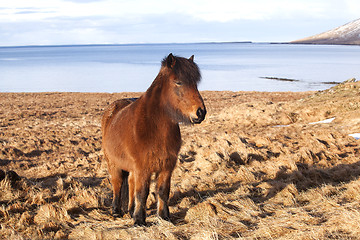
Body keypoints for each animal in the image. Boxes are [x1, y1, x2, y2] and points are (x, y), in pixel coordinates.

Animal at [102, 53, 207, 226]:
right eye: (178, 82)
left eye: (195, 83)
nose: (200, 112)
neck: (154, 127)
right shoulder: (142, 168)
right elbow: (142, 193)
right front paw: (139, 220)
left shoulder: (167, 166)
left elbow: (163, 191)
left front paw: (164, 217)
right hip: (113, 163)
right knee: (117, 184)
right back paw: (116, 211)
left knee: (130, 183)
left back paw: (130, 210)